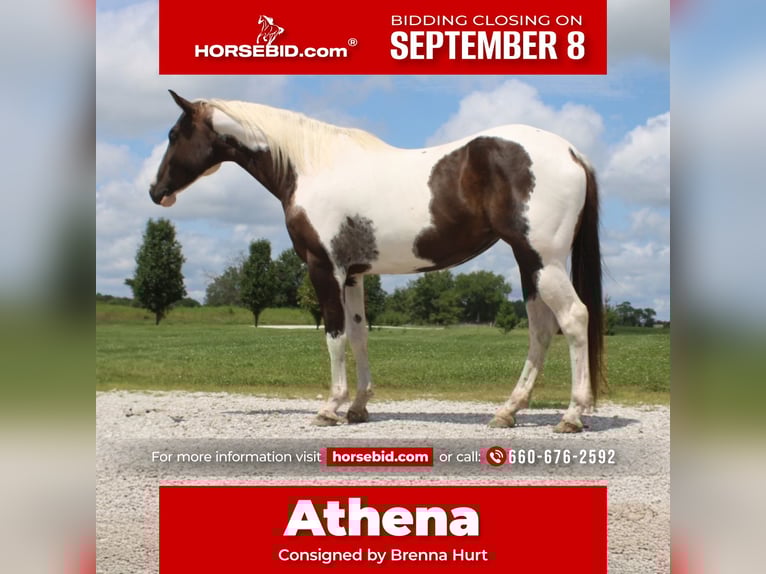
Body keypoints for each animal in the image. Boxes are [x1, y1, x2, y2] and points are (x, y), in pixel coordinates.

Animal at [149, 90, 604, 433]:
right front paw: (358, 407)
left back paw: (571, 415)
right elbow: (359, 334)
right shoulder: (353, 275)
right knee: (541, 330)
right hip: (530, 263)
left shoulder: (324, 269)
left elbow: (334, 336)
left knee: (574, 318)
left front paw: (330, 408)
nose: (156, 191)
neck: (311, 166)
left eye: (174, 133)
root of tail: (571, 152)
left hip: (543, 260)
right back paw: (507, 411)